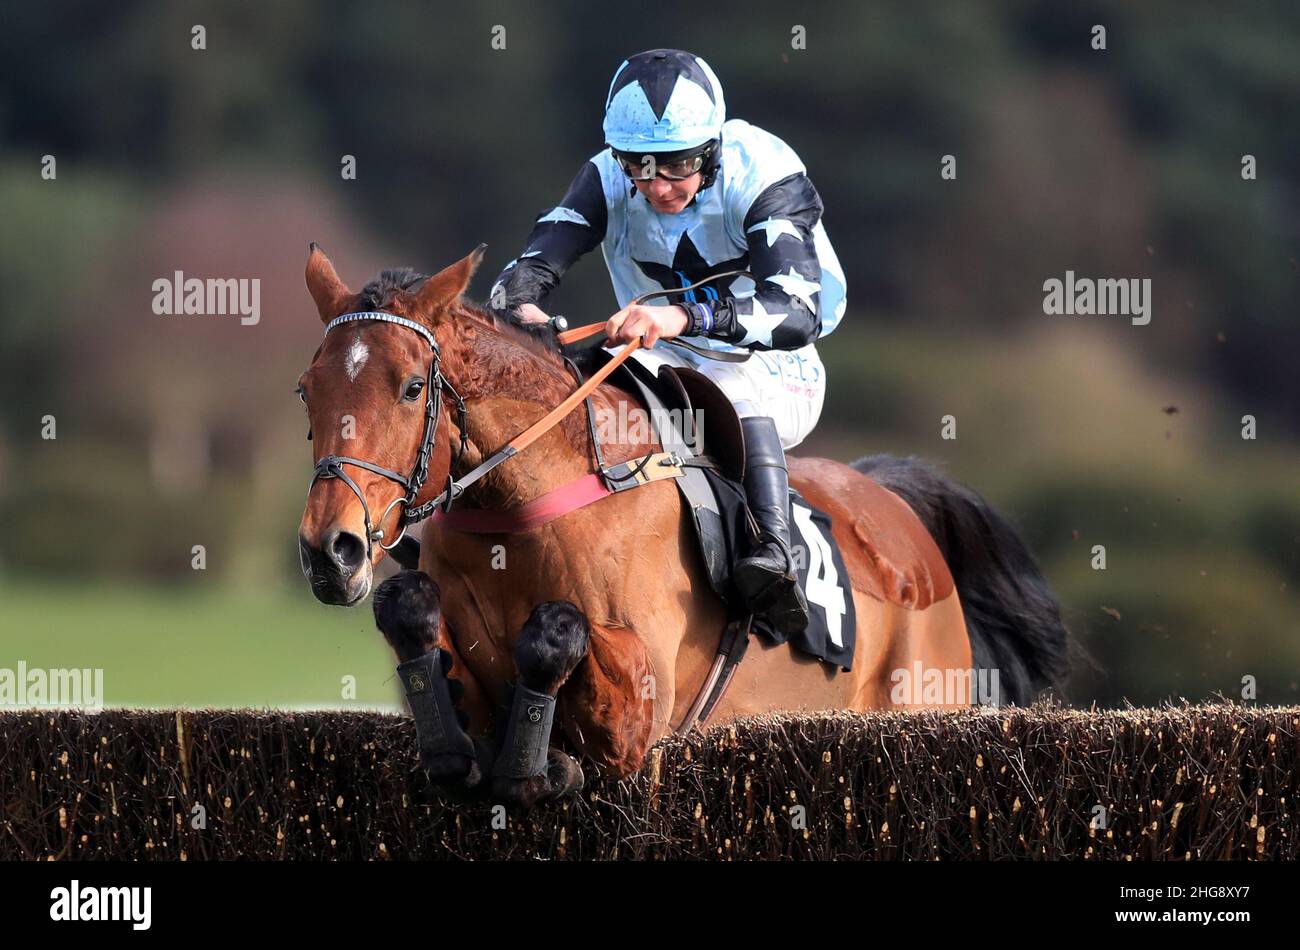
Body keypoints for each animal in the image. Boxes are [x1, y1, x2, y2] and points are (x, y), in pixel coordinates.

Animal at [299, 243, 1071, 800]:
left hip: (915, 701)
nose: (330, 551)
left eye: (412, 387)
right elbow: (409, 611)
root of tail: (896, 506)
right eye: (308, 390)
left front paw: (538, 764)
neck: (522, 508)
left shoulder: (644, 714)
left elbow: (556, 632)